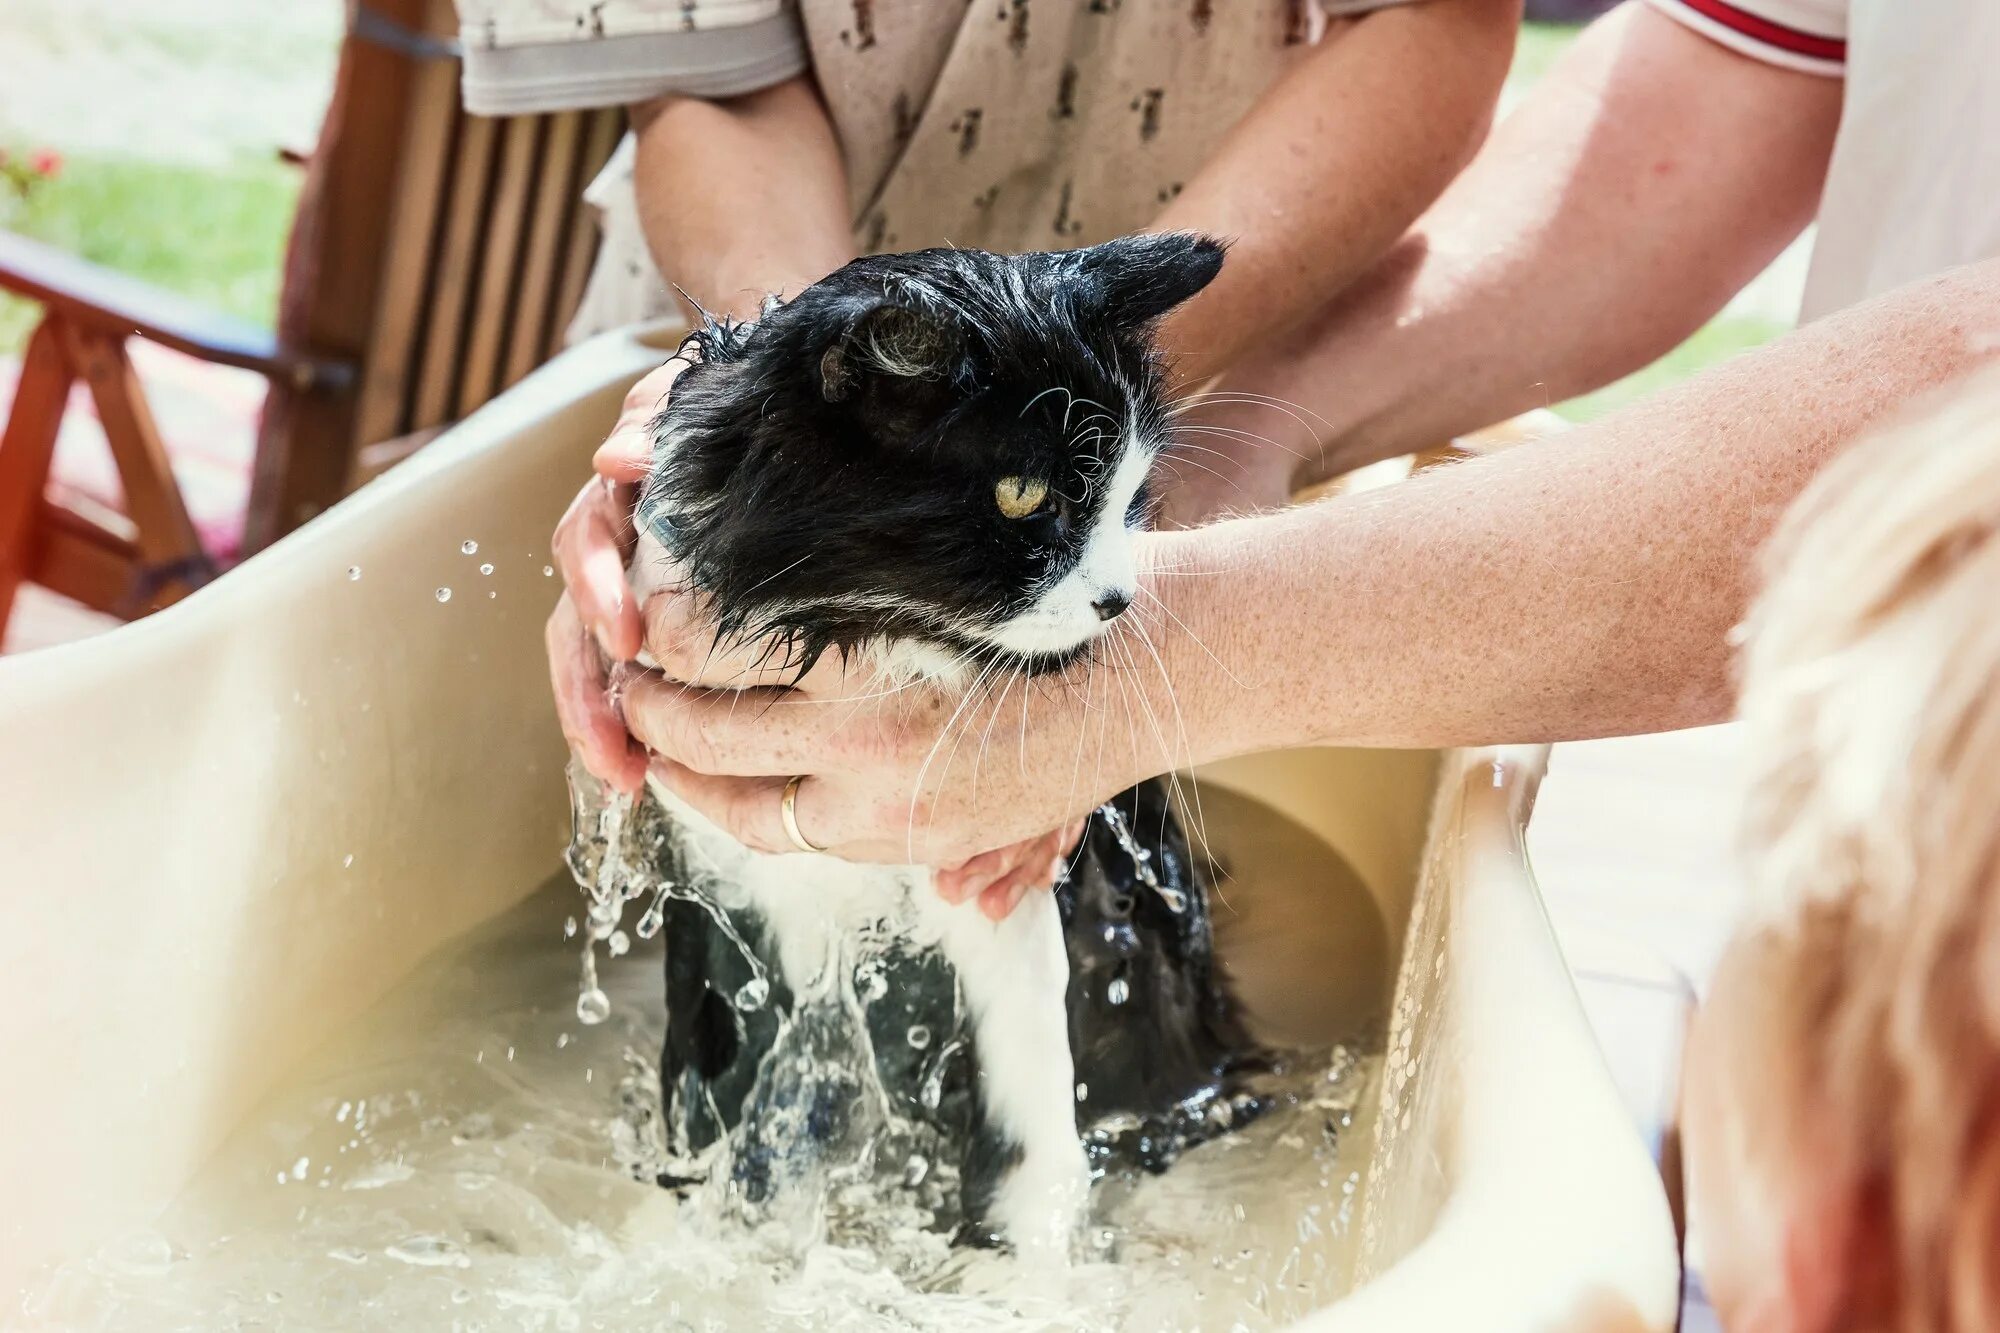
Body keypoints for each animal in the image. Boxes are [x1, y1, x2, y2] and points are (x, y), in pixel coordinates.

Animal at [624, 236, 1248, 1248]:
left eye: (1130, 496)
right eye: (1023, 495)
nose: (1121, 599)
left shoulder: (999, 897)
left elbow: (1031, 1143)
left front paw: (1023, 1263)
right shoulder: (710, 888)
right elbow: (697, 1103)